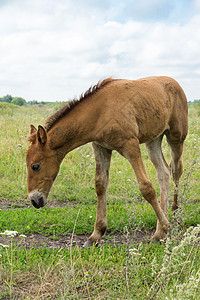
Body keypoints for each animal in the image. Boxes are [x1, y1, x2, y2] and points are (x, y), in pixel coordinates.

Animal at [26, 75, 188, 246]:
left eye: (35, 166)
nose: (35, 200)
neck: (100, 112)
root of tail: (174, 82)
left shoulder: (130, 145)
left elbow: (146, 188)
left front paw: (167, 227)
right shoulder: (101, 147)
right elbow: (100, 185)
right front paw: (96, 234)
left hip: (176, 136)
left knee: (176, 169)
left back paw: (175, 215)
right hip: (153, 140)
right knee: (164, 173)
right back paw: (159, 232)